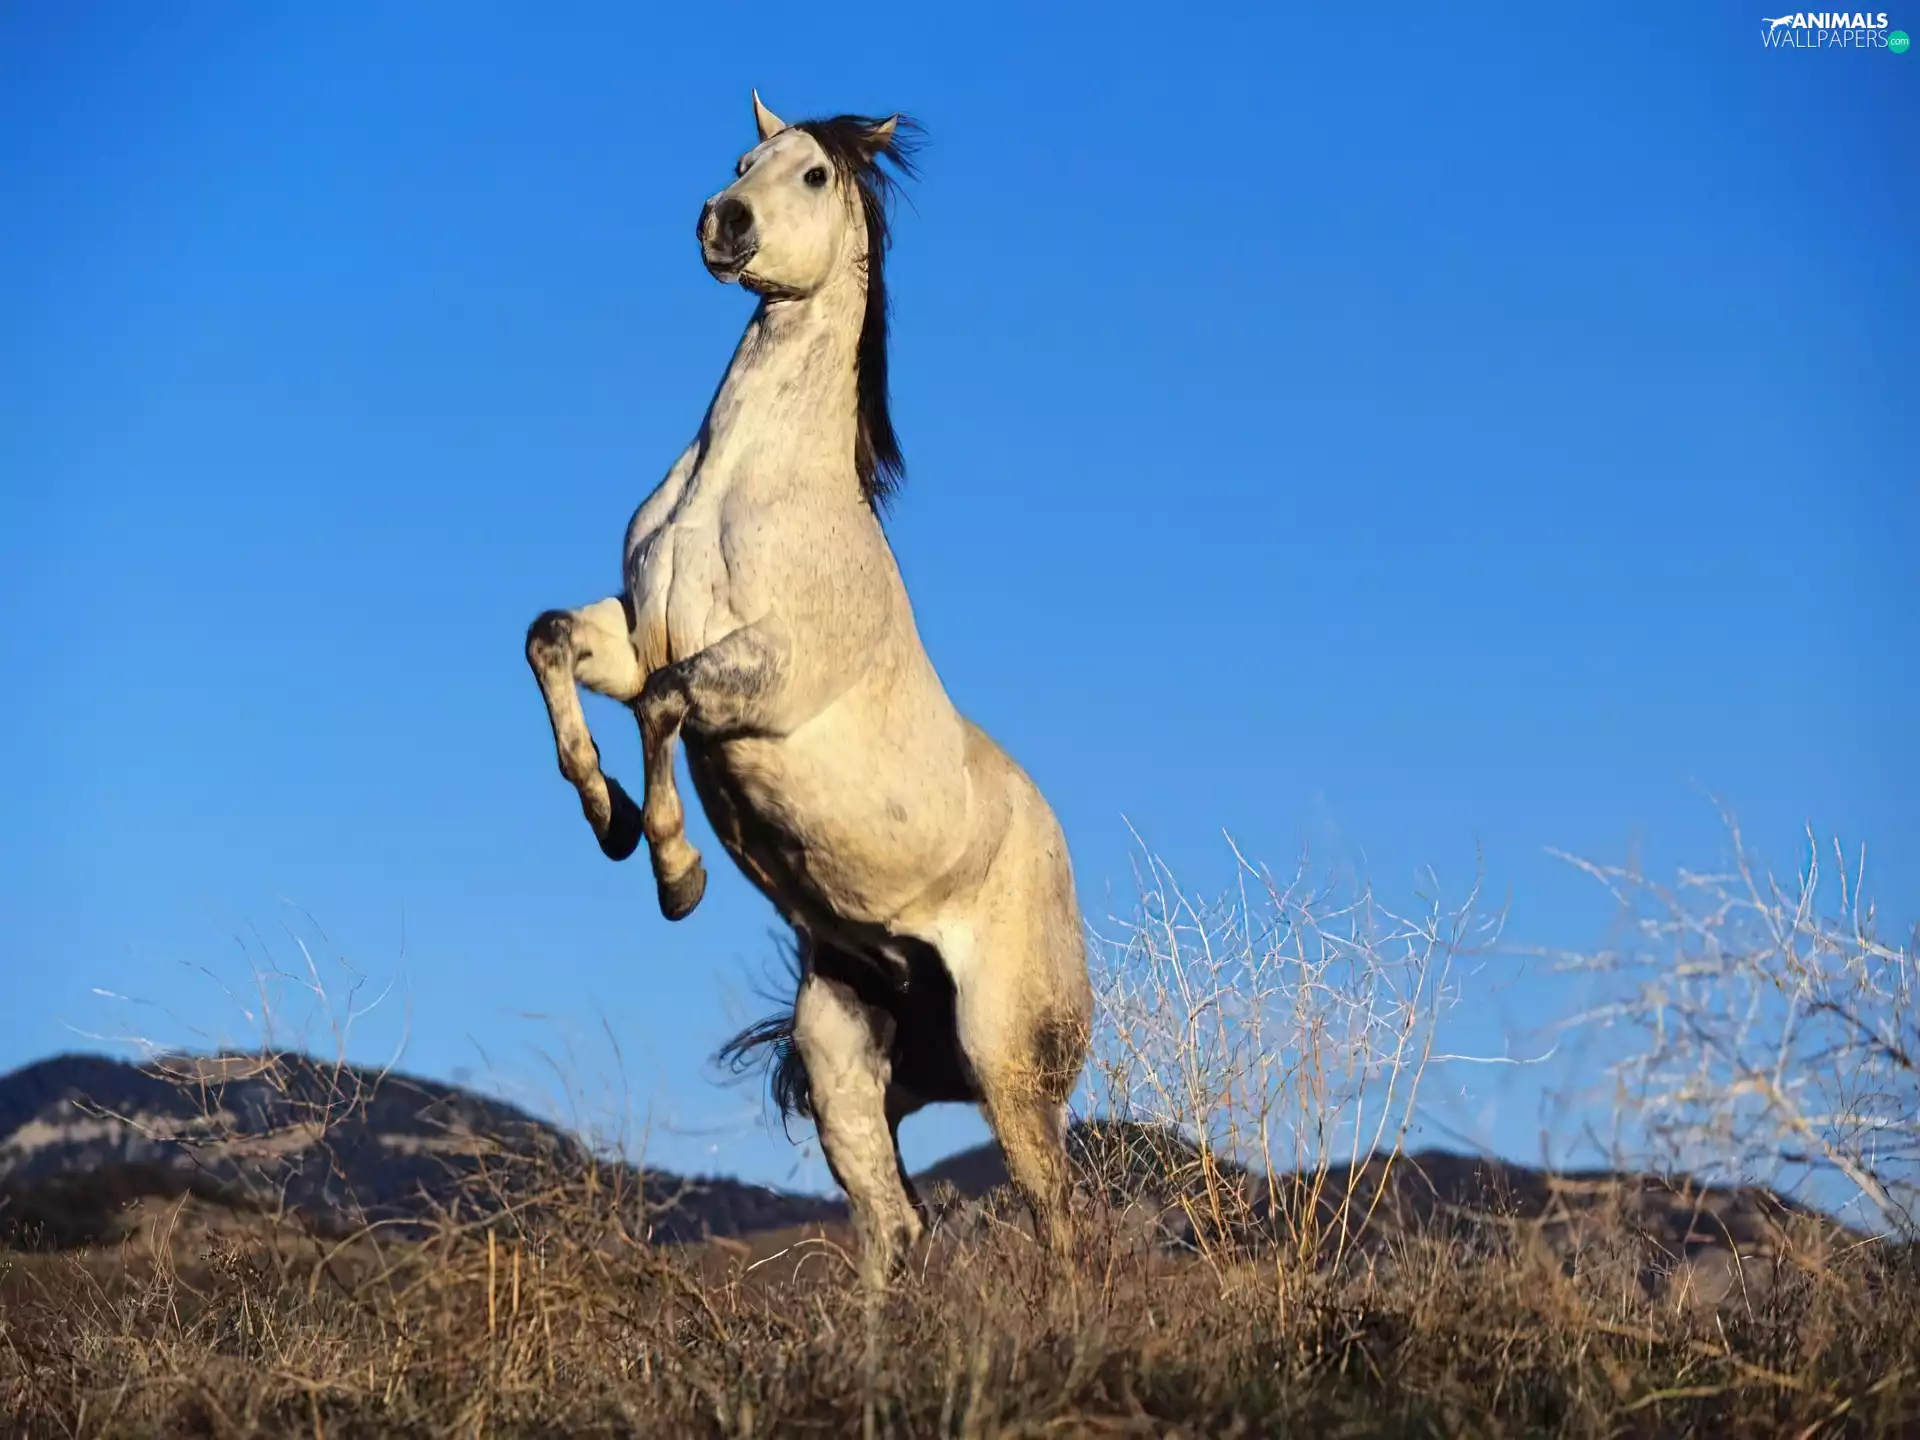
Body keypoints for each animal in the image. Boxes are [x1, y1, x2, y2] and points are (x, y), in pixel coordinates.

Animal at [524, 93, 1091, 1287]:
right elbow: (551, 642)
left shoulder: (764, 677)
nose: (721, 222)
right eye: (745, 157)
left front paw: (676, 871)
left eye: (816, 174)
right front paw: (607, 817)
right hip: (842, 1056)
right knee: (895, 1227)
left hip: (1013, 1070)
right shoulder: (631, 630)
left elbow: (667, 703)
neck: (747, 482)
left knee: (1063, 1228)